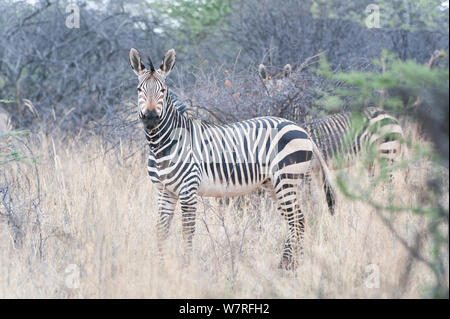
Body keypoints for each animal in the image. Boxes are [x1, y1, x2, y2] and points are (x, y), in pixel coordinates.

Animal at [128, 48, 336, 272]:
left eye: (163, 90)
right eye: (139, 89)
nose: (150, 118)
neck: (162, 144)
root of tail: (302, 129)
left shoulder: (188, 190)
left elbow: (187, 231)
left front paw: (187, 267)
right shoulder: (164, 192)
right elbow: (161, 231)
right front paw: (161, 267)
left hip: (286, 179)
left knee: (297, 220)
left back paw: (291, 266)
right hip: (273, 184)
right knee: (297, 220)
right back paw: (289, 264)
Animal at [256, 62, 404, 172]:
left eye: (285, 92)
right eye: (267, 91)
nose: (276, 106)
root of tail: (390, 116)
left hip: (386, 154)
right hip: (370, 160)